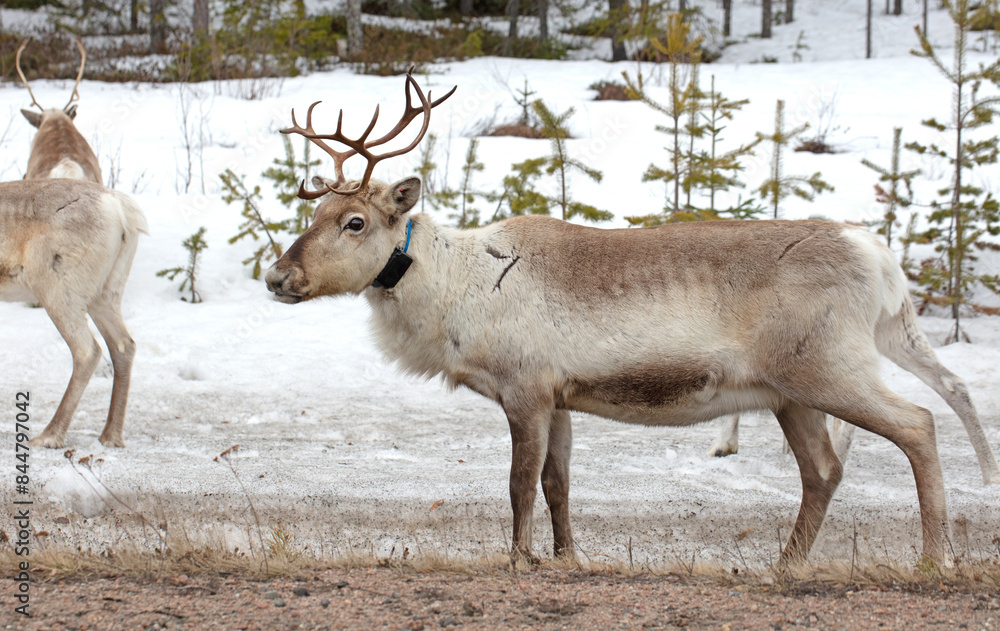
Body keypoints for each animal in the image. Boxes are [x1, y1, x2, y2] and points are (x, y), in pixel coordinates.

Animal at [1, 179, 147, 448]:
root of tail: (120, 209)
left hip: (57, 288)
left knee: (88, 350)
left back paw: (49, 436)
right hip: (106, 294)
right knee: (123, 345)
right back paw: (110, 436)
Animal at [265, 72, 999, 566]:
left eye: (355, 221)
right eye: (313, 212)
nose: (276, 276)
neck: (452, 293)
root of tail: (880, 258)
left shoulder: (524, 386)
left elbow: (519, 485)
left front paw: (519, 558)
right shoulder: (560, 392)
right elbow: (558, 484)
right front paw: (568, 557)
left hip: (828, 367)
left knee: (919, 423)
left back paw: (935, 557)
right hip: (791, 392)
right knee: (823, 470)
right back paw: (785, 564)